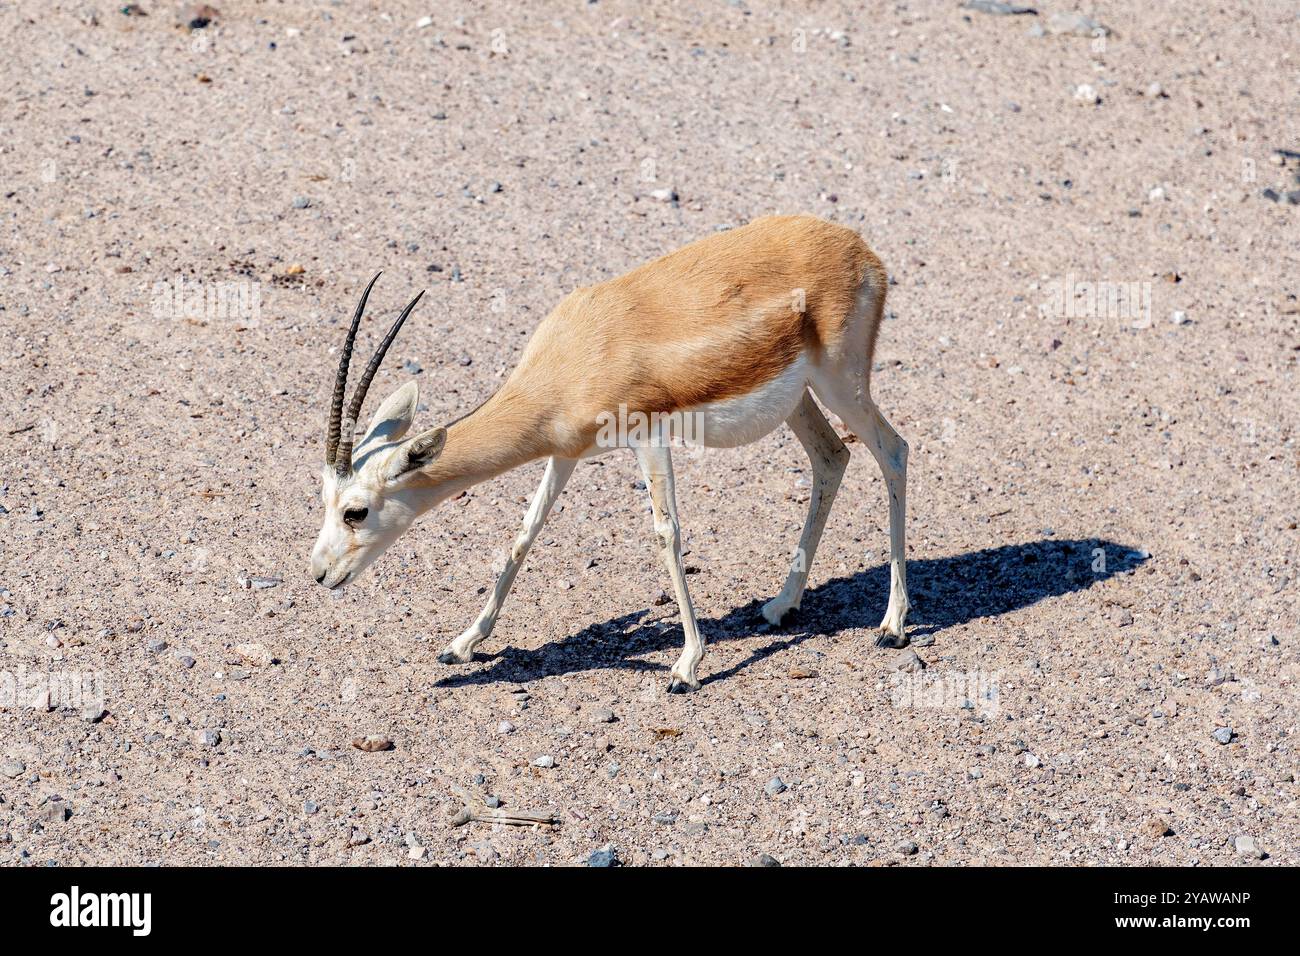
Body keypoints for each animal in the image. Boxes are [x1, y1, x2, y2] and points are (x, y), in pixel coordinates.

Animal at [310, 215, 910, 692]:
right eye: (324, 502)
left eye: (355, 511)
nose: (319, 574)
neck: (571, 357)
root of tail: (859, 249)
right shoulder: (565, 452)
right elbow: (525, 532)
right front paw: (462, 643)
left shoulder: (649, 435)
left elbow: (667, 533)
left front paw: (686, 666)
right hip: (799, 398)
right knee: (832, 458)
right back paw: (783, 606)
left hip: (841, 382)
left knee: (894, 451)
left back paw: (893, 625)